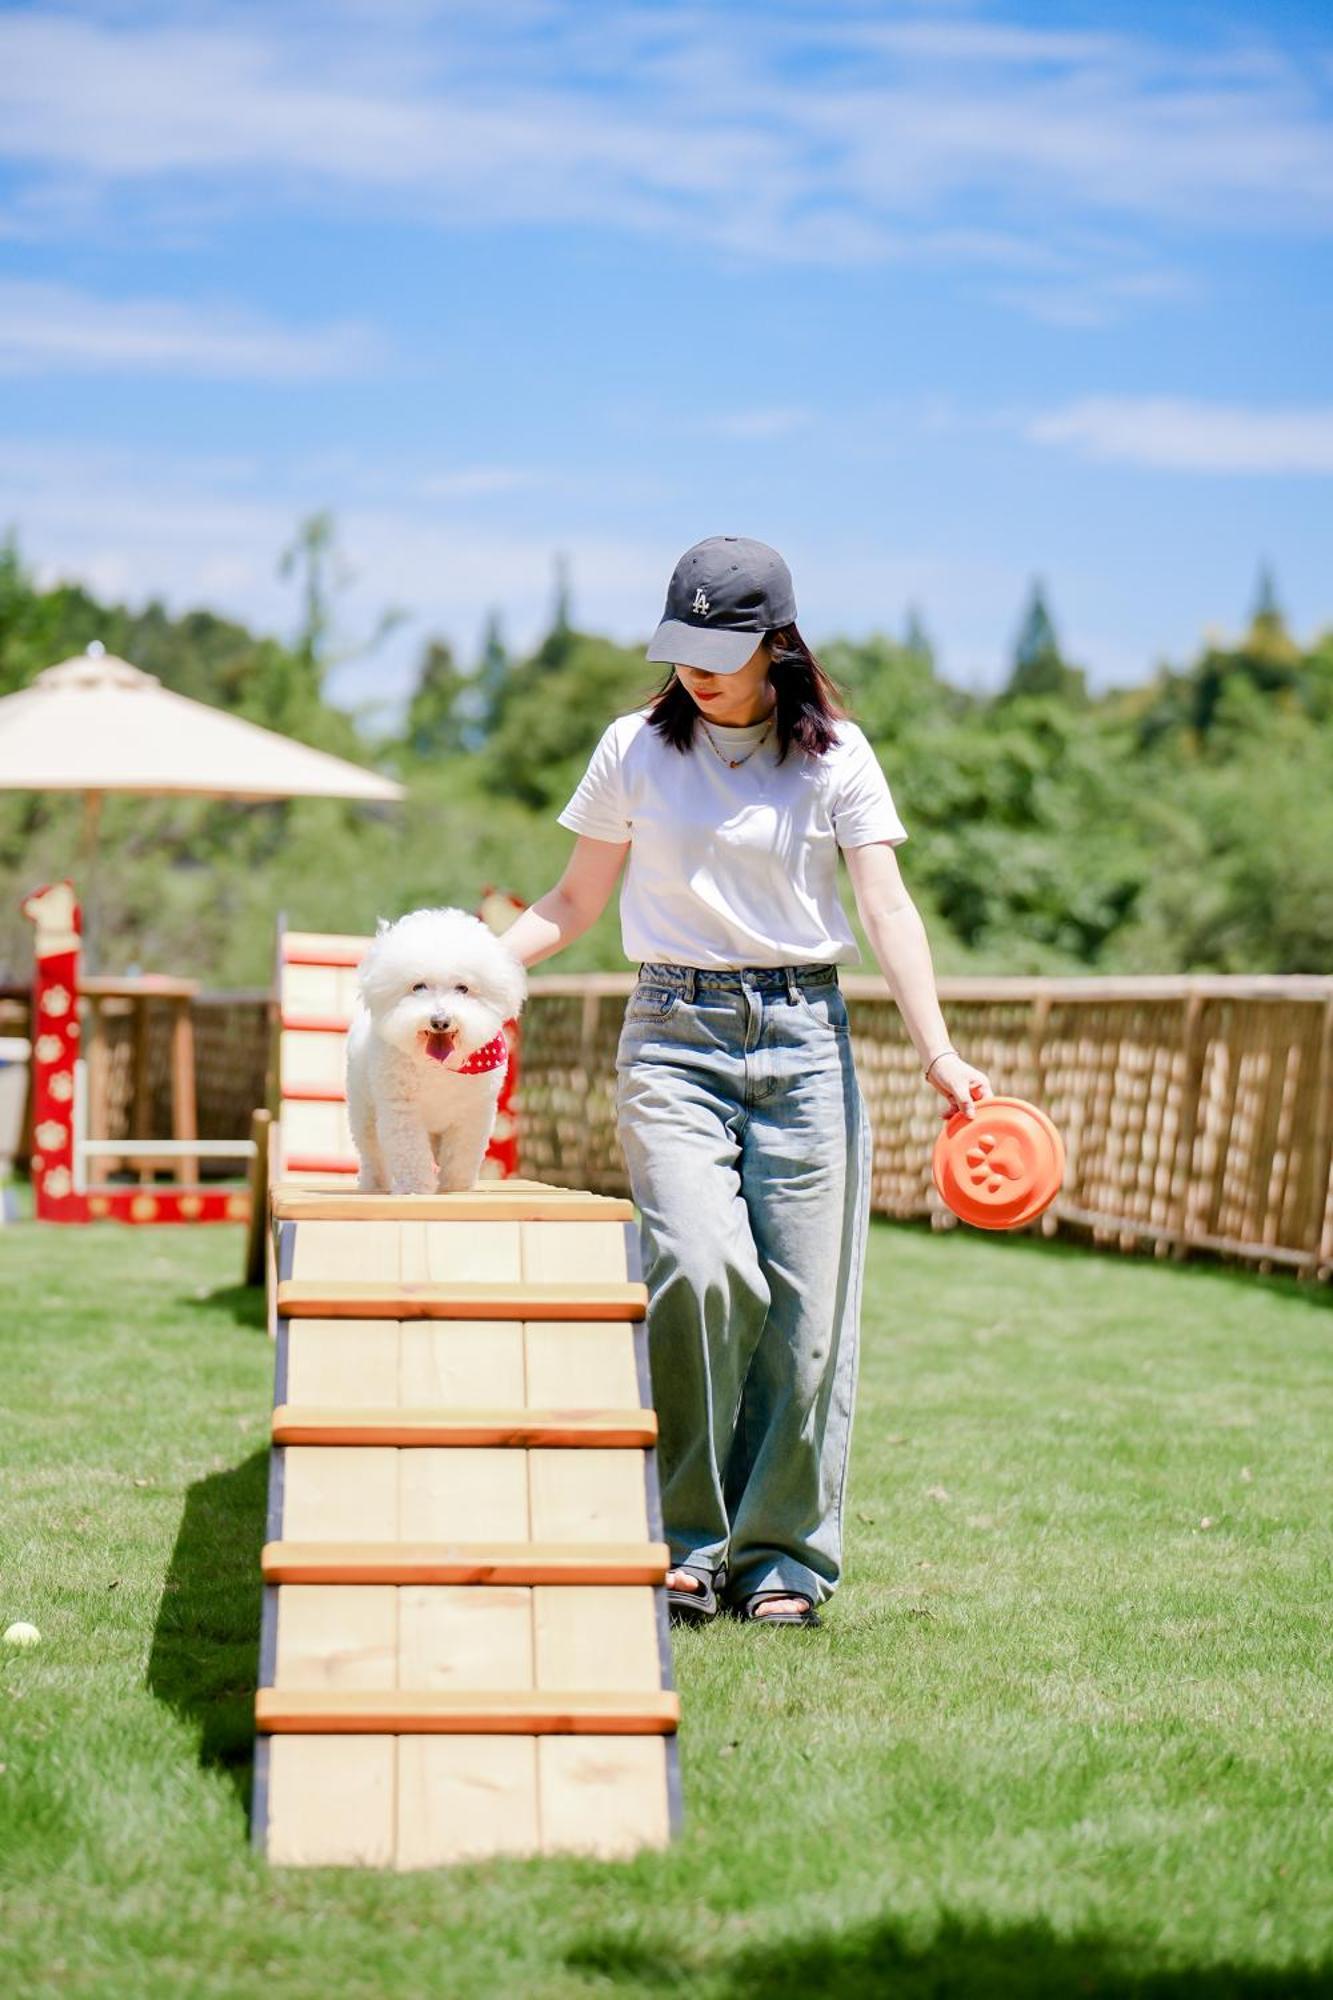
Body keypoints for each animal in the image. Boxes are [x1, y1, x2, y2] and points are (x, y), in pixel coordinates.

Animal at [348, 916, 524, 1192]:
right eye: (418, 986)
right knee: (371, 1152)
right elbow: (410, 1153)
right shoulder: (402, 1110)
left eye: (463, 988)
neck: (438, 1067)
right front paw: (415, 1188)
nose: (440, 1021)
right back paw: (374, 1184)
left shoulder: (473, 1113)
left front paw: (455, 1186)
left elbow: (462, 1154)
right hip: (363, 1109)